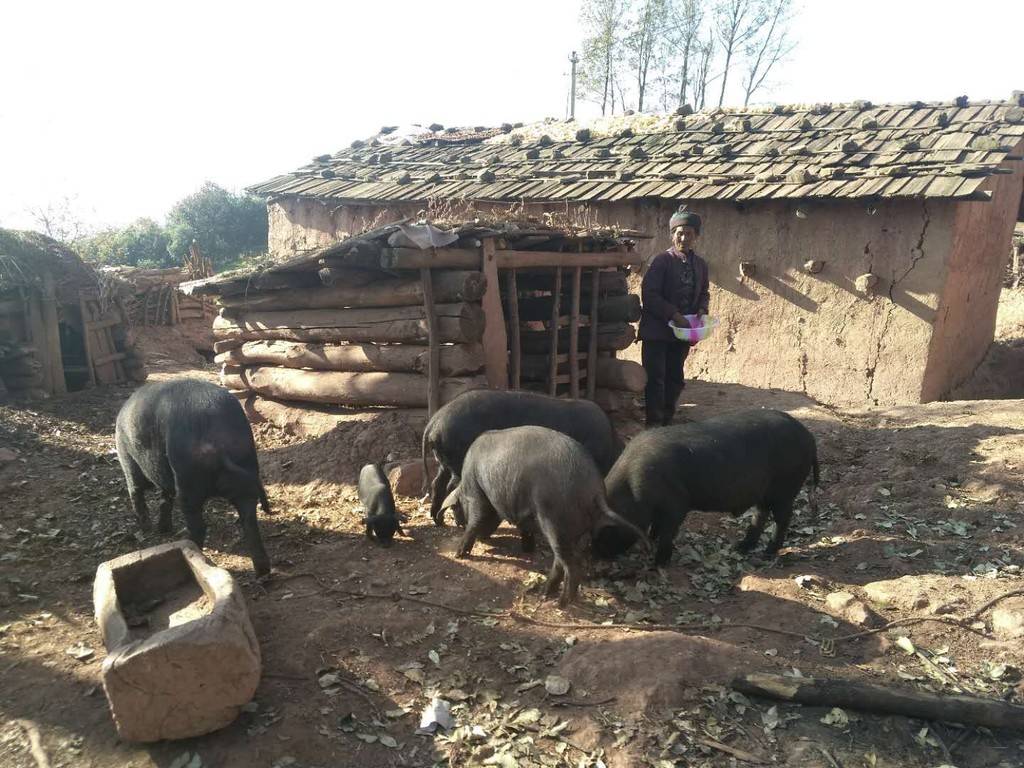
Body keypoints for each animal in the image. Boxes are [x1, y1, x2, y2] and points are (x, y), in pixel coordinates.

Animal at [115, 378, 272, 577]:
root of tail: (217, 442)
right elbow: (164, 500)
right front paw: (162, 529)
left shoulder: (127, 459)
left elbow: (137, 493)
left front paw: (146, 529)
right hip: (247, 469)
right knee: (249, 519)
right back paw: (262, 572)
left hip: (186, 480)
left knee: (197, 525)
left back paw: (187, 545)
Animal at [421, 393, 618, 528]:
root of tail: (435, 421)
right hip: (456, 457)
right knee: (452, 486)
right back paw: (460, 523)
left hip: (443, 461)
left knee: (437, 483)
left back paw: (437, 521)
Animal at [442, 428, 647, 606]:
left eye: (458, 508)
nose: (485, 540)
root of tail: (595, 491)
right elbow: (525, 529)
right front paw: (527, 549)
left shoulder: (476, 491)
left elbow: (476, 519)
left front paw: (459, 554)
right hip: (578, 530)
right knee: (562, 561)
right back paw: (545, 593)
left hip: (554, 519)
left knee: (571, 564)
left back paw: (561, 603)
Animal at [598, 409, 819, 565]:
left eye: (607, 529)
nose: (598, 554)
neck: (633, 492)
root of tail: (809, 436)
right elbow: (656, 526)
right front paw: (651, 542)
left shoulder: (677, 503)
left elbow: (668, 529)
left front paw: (658, 562)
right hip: (765, 492)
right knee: (760, 514)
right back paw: (741, 547)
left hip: (785, 488)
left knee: (783, 518)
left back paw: (768, 552)